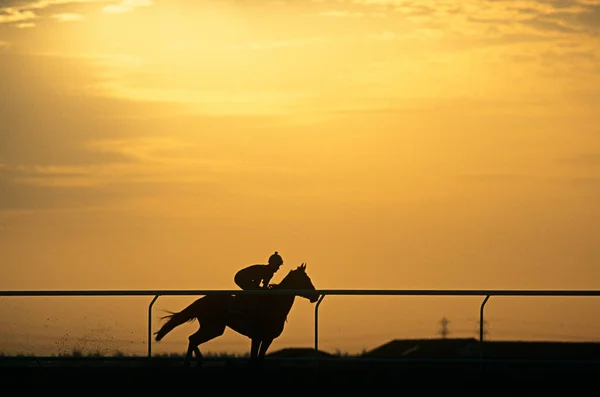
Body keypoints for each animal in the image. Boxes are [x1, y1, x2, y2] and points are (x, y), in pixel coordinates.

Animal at [154, 262, 318, 366]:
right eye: (305, 280)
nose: (315, 296)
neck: (274, 304)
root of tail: (202, 300)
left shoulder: (268, 338)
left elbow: (259, 359)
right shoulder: (257, 336)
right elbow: (253, 360)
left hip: (214, 328)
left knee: (193, 339)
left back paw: (197, 361)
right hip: (213, 328)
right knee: (193, 338)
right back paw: (191, 362)